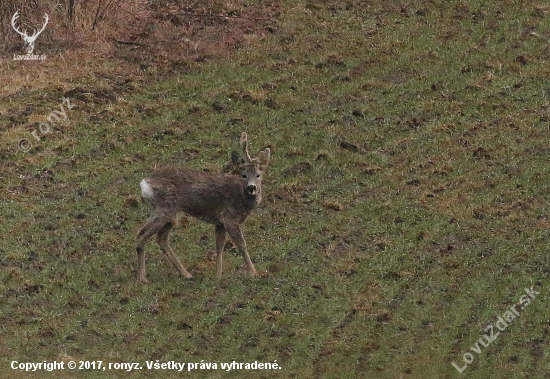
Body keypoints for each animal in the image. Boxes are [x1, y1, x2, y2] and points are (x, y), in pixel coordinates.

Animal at [136, 132, 270, 284]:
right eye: (244, 175)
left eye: (258, 175)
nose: (252, 187)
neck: (241, 198)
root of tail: (145, 183)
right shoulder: (229, 217)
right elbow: (241, 244)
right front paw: (253, 273)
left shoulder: (220, 221)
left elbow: (219, 246)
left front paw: (218, 276)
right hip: (164, 207)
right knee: (142, 234)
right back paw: (142, 278)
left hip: (172, 214)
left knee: (162, 239)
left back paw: (186, 274)